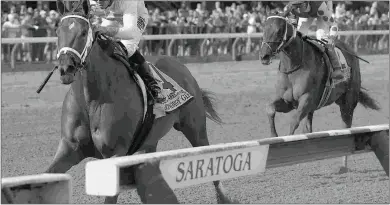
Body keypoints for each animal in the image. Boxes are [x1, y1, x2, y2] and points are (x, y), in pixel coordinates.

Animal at [45, 0, 235, 203]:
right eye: (57, 31)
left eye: (82, 32)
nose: (66, 68)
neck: (91, 99)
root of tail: (181, 67)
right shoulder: (69, 148)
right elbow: (47, 175)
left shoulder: (115, 153)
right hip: (150, 140)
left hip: (194, 127)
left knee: (208, 154)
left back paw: (223, 197)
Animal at [260, 16, 380, 173]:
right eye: (263, 28)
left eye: (279, 30)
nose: (264, 55)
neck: (294, 67)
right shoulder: (287, 102)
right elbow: (270, 109)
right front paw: (274, 136)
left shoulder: (306, 100)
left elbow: (294, 121)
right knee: (308, 128)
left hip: (348, 103)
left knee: (346, 128)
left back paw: (343, 166)